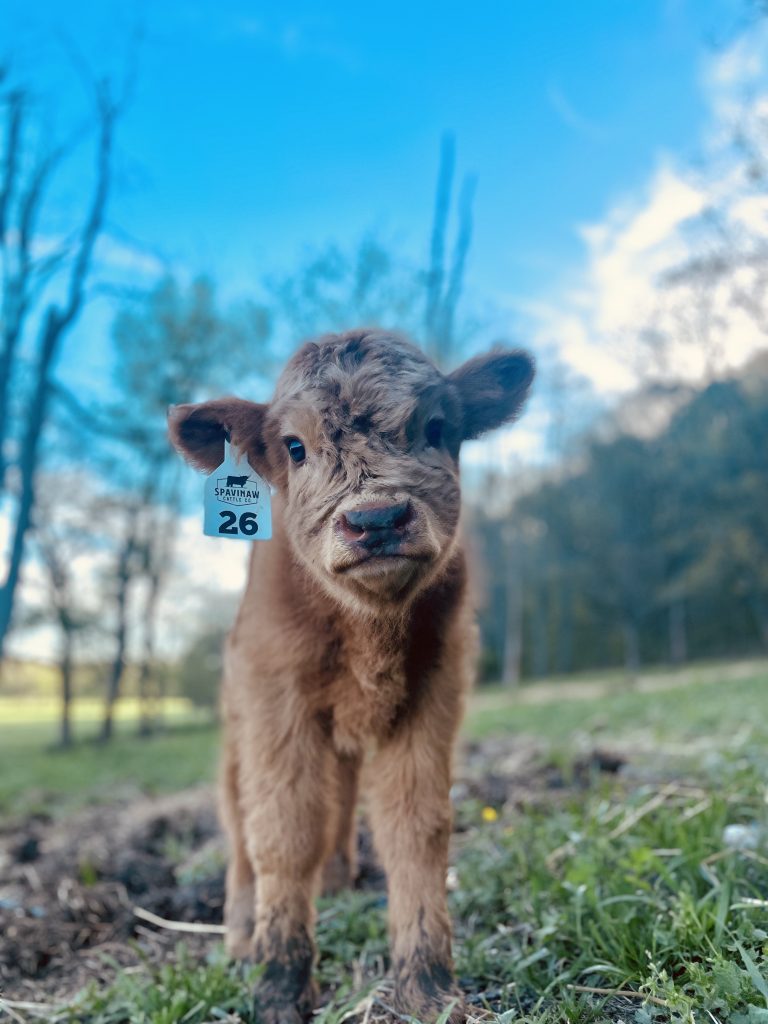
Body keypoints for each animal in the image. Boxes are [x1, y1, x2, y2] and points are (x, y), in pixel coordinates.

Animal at [169, 328, 535, 1024]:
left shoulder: (433, 692)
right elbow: (282, 832)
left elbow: (416, 827)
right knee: (241, 830)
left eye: (435, 427)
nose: (377, 520)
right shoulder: (276, 702)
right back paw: (241, 931)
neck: (370, 633)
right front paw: (279, 985)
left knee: (337, 804)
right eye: (294, 447)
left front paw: (428, 984)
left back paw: (336, 882)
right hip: (237, 737)